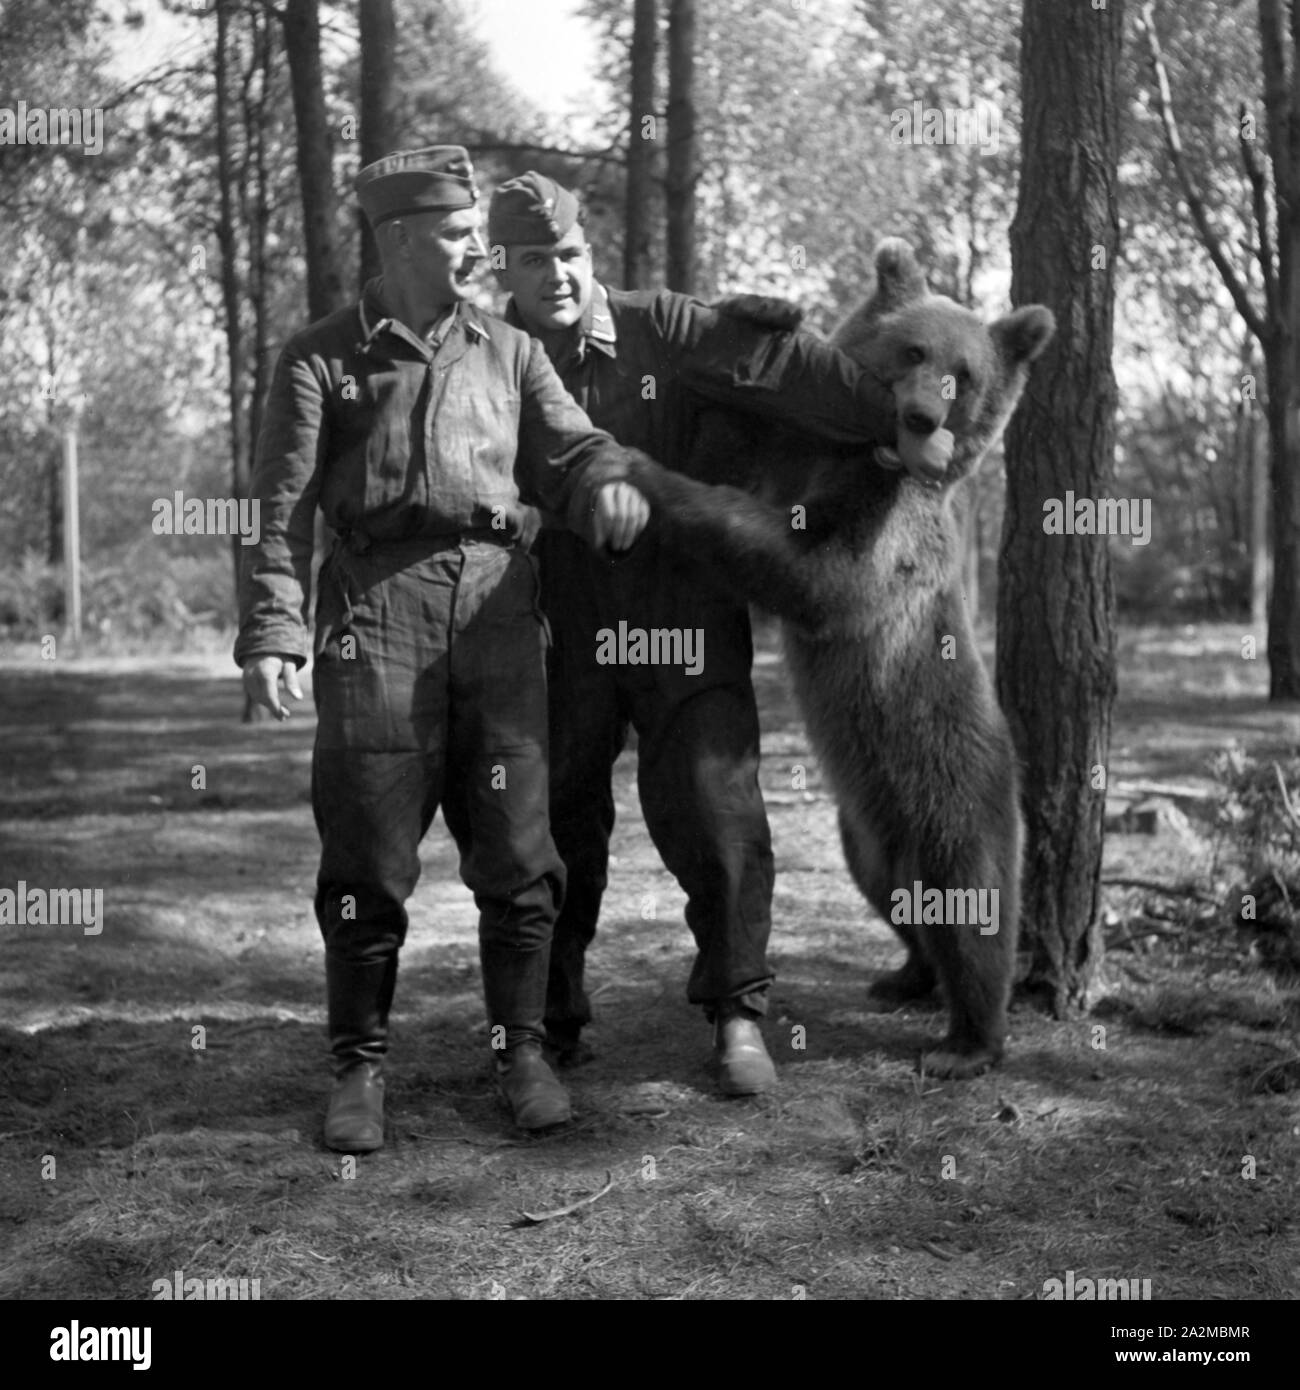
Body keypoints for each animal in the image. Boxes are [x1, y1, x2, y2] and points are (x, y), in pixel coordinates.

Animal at [620, 239, 1056, 1073]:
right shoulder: (794, 455)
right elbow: (731, 448)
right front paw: (763, 306)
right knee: (897, 902)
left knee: (972, 913)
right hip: (864, 832)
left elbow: (809, 570)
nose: (921, 414)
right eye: (913, 350)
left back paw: (968, 1041)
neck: (867, 455)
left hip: (957, 792)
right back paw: (904, 975)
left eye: (964, 373)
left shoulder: (886, 535)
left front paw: (647, 475)